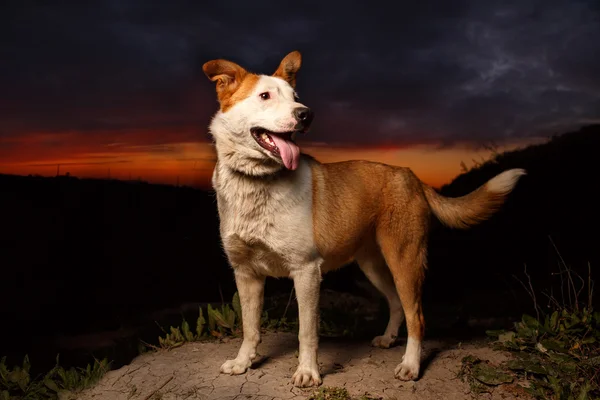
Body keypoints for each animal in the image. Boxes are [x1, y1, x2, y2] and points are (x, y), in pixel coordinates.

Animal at [202, 50, 524, 388]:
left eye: (295, 98)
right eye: (265, 96)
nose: (306, 115)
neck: (257, 181)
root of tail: (412, 176)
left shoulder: (306, 272)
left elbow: (307, 332)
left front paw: (308, 371)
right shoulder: (246, 273)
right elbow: (249, 328)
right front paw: (243, 362)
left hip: (405, 261)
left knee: (417, 316)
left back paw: (410, 365)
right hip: (373, 265)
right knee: (396, 303)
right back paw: (388, 338)